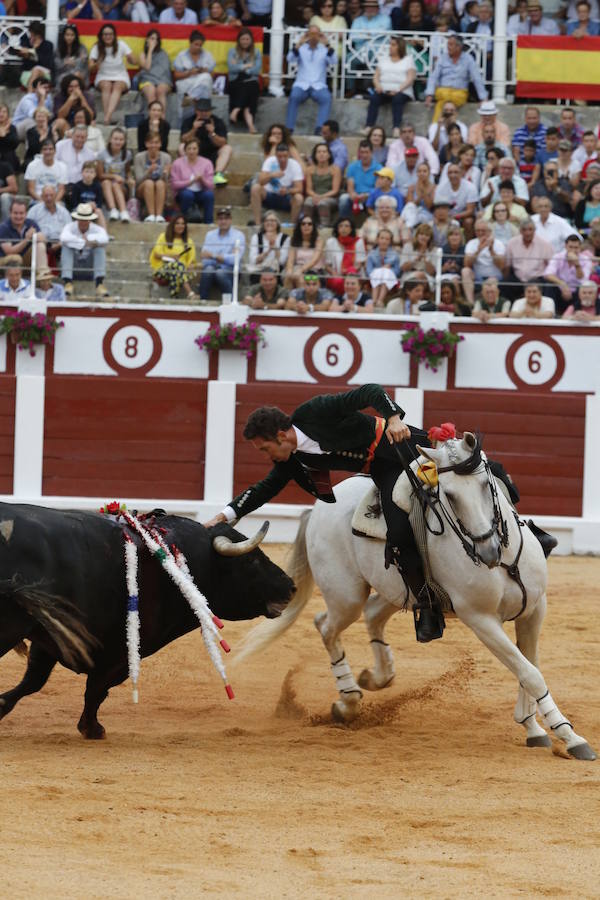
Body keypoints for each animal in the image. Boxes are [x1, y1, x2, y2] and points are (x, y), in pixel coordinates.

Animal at [0, 500, 296, 740]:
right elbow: (96, 689)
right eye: (252, 561)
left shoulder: (55, 637)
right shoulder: (120, 652)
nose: (290, 586)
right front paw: (92, 728)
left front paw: (2, 706)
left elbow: (34, 681)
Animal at [238, 432, 596, 764]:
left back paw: (376, 677)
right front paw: (570, 737)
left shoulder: (535, 609)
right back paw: (348, 700)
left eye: (486, 483)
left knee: (370, 615)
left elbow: (529, 664)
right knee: (326, 625)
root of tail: (316, 510)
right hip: (346, 594)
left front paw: (534, 727)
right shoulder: (481, 619)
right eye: (449, 495)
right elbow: (529, 671)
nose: (488, 552)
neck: (505, 562)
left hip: (400, 591)